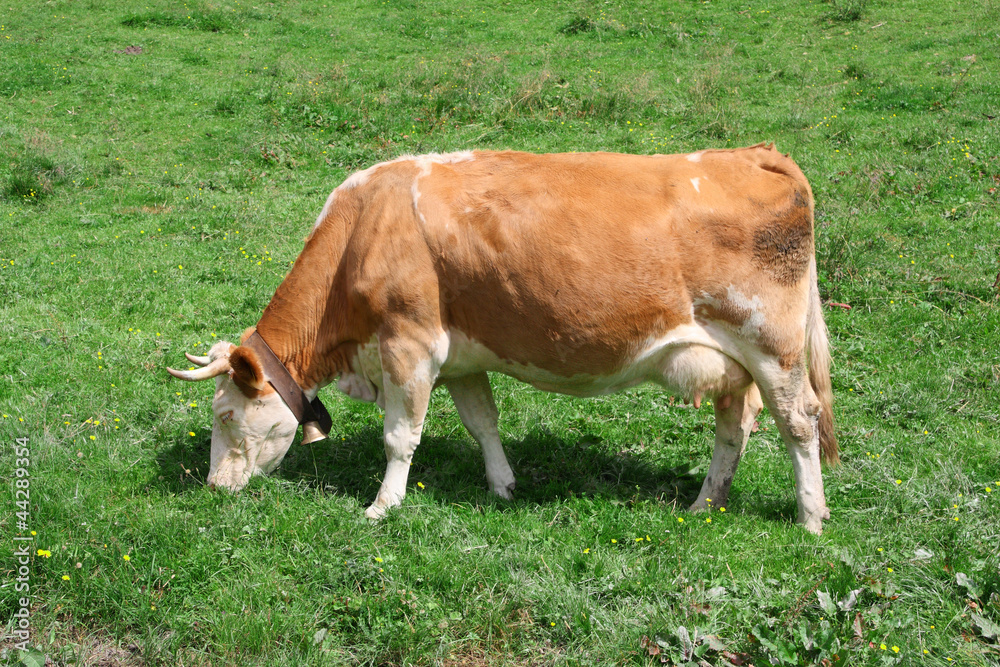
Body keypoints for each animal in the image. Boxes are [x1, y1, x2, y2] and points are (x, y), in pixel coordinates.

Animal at [168, 145, 838, 534]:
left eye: (225, 416)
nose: (213, 488)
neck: (364, 228)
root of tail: (758, 153)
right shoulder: (460, 356)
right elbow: (481, 421)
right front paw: (502, 485)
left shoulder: (409, 344)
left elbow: (399, 437)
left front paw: (382, 506)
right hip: (731, 361)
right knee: (735, 426)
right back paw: (704, 505)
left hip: (773, 348)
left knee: (799, 422)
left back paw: (810, 517)